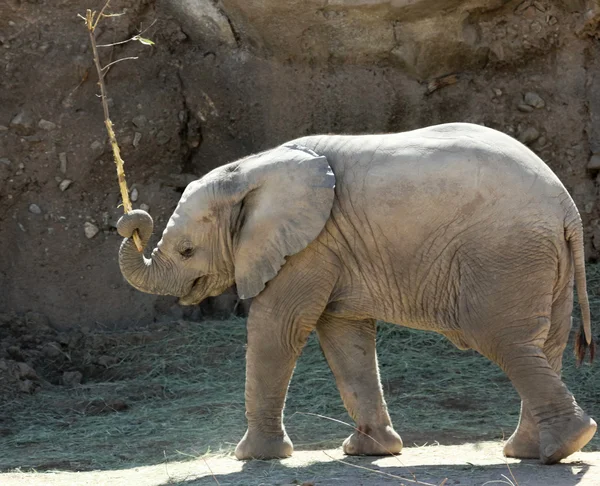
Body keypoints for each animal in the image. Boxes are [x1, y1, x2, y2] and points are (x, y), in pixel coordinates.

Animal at [117, 122, 596, 464]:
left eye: (187, 250)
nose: (130, 220)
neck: (252, 170)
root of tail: (566, 207)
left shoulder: (310, 245)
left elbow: (277, 327)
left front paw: (251, 457)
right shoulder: (334, 247)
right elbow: (345, 336)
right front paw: (371, 452)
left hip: (505, 255)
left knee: (505, 340)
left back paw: (564, 445)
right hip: (541, 260)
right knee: (545, 345)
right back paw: (532, 452)